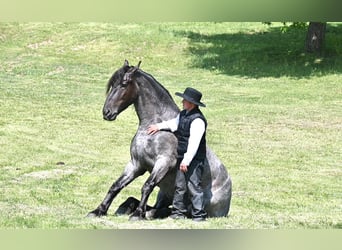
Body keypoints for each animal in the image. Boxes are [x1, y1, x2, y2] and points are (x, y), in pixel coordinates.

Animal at [87, 59, 232, 220]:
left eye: (124, 84)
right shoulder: (136, 164)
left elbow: (147, 186)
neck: (154, 127)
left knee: (176, 210)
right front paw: (98, 210)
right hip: (164, 194)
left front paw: (138, 214)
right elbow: (116, 186)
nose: (107, 112)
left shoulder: (164, 162)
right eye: (112, 84)